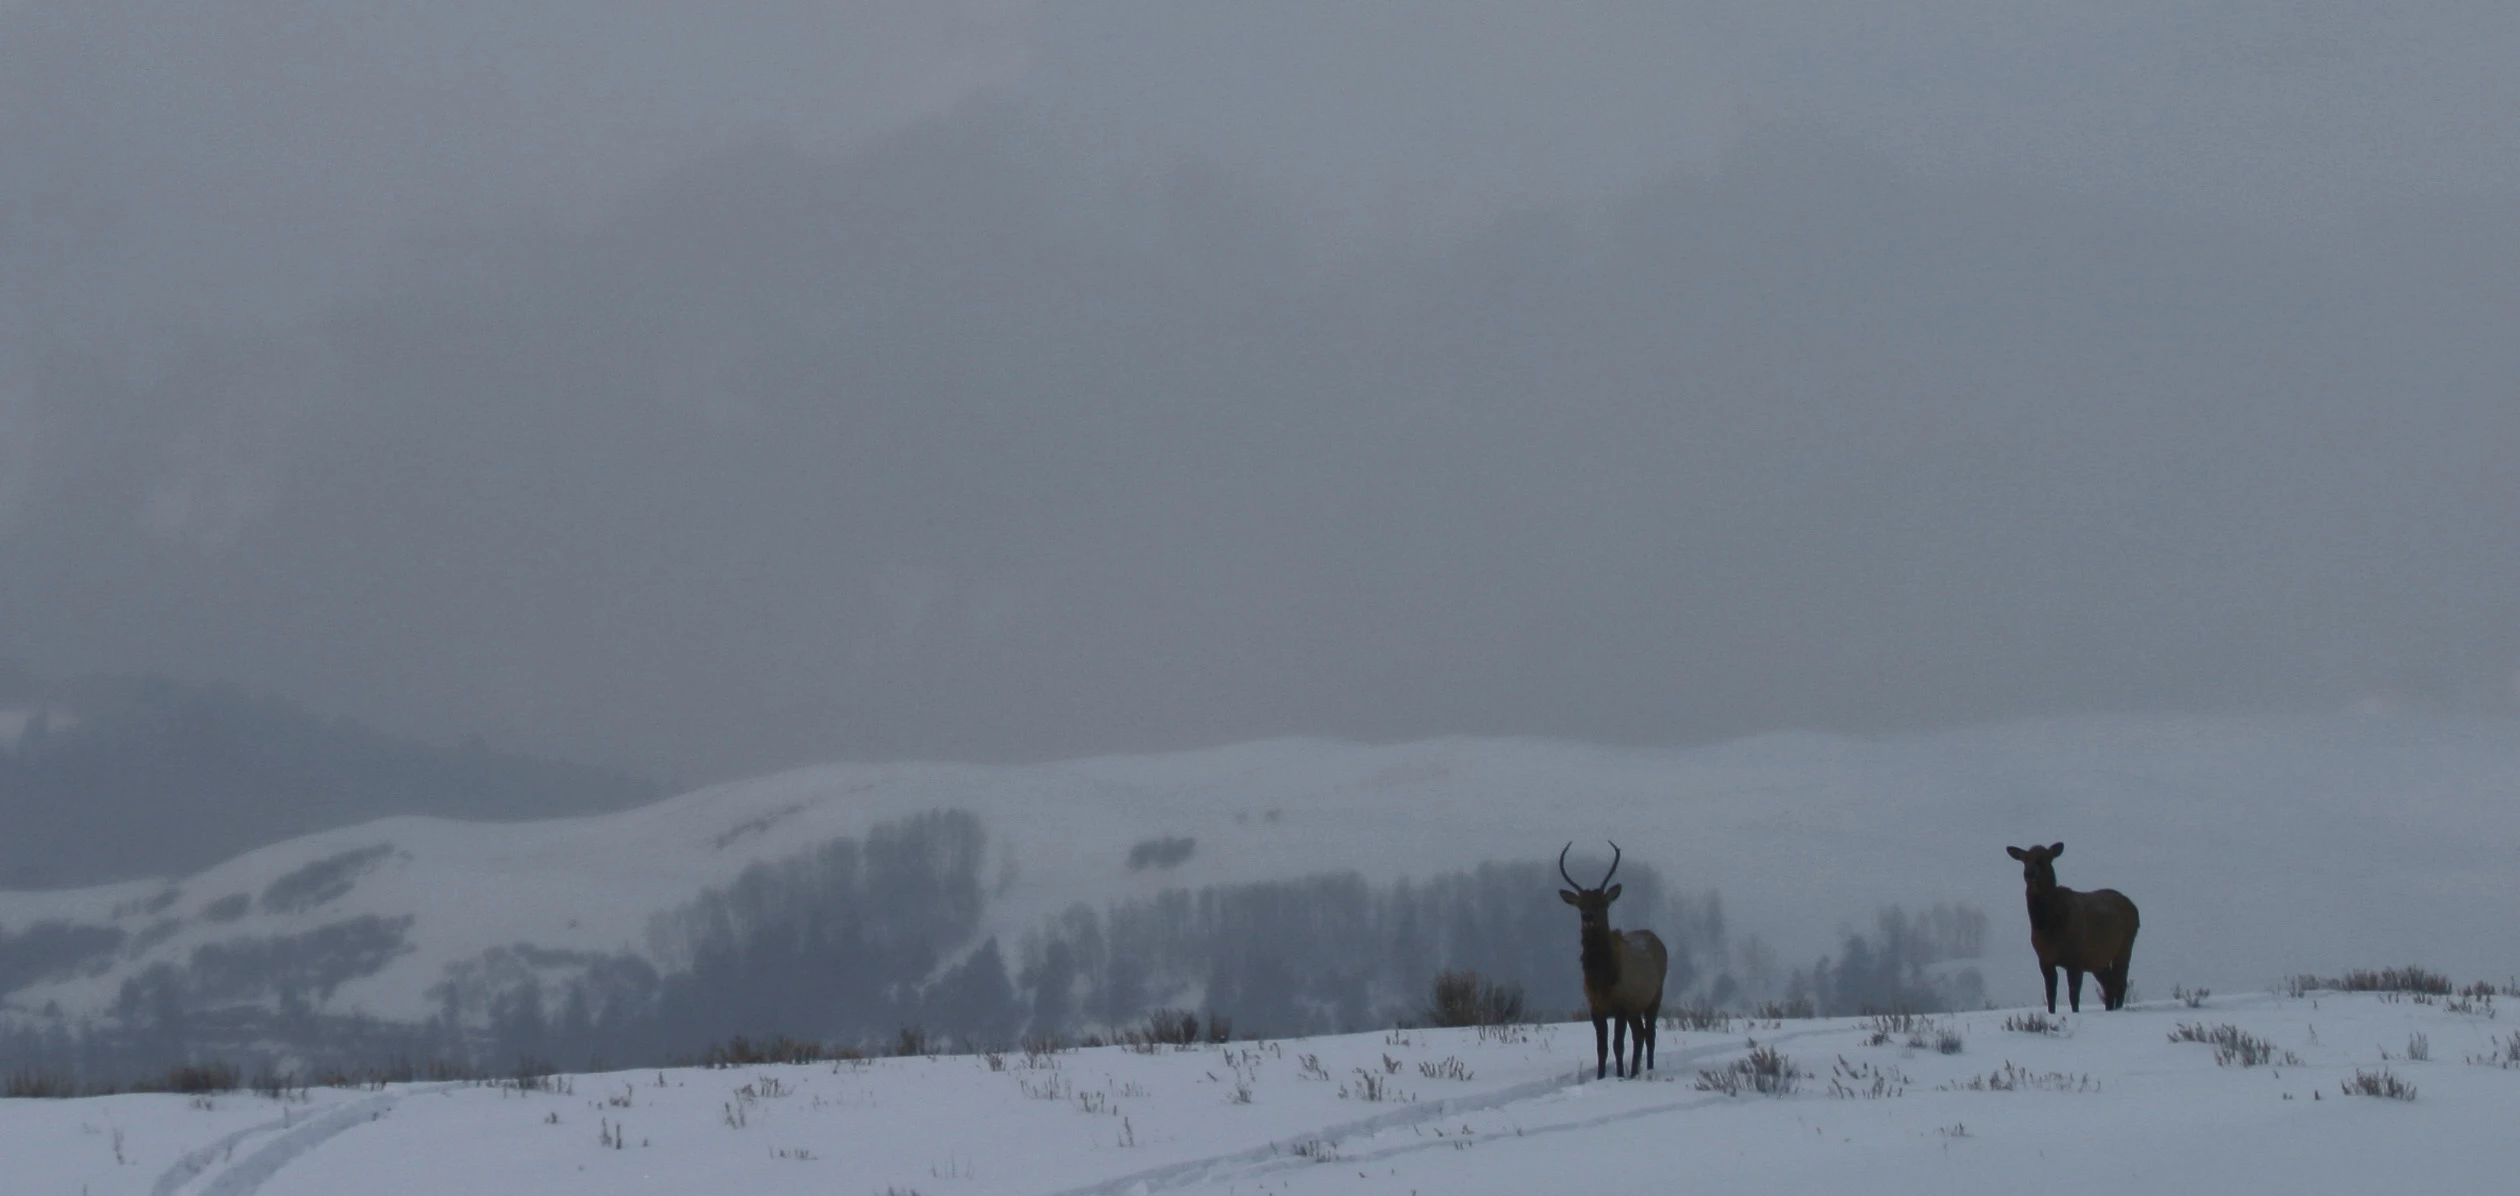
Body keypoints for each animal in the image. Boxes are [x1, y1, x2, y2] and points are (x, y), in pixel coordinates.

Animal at [1558, 841, 1668, 1079]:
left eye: (1602, 904)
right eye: (1581, 905)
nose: (1588, 918)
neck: (1602, 980)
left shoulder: (1621, 1005)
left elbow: (1618, 1045)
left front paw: (1618, 1075)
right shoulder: (1596, 1007)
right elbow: (1602, 1047)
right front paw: (1601, 1076)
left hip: (1655, 996)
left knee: (1649, 1034)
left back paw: (1648, 1069)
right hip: (1637, 1006)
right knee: (1640, 1034)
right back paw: (1635, 1071)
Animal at [2005, 842, 2140, 1013]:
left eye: (2043, 859)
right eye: (2024, 859)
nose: (2028, 873)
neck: (2048, 927)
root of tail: (2135, 909)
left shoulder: (2076, 957)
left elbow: (2073, 995)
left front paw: (2075, 1012)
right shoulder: (2044, 959)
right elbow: (2050, 994)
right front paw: (2052, 1013)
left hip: (2125, 944)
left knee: (2121, 982)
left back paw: (2118, 1009)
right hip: (2098, 960)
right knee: (2109, 985)